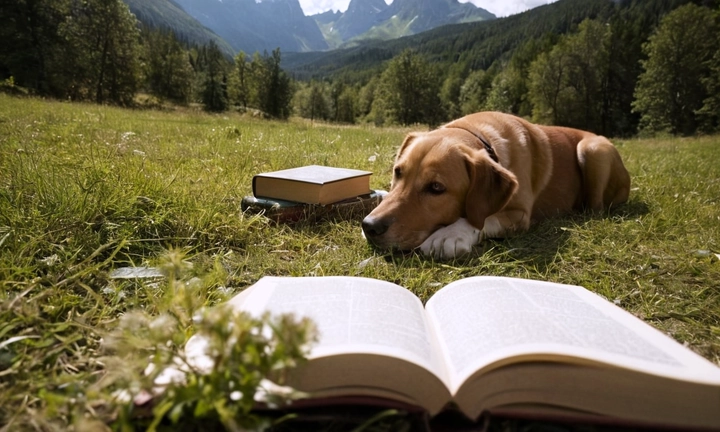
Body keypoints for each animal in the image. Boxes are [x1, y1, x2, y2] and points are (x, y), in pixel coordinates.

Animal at [362, 112, 628, 260]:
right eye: (398, 172)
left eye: (436, 188)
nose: (370, 226)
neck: (479, 132)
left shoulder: (520, 215)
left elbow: (483, 218)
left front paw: (450, 234)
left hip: (592, 150)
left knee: (596, 207)